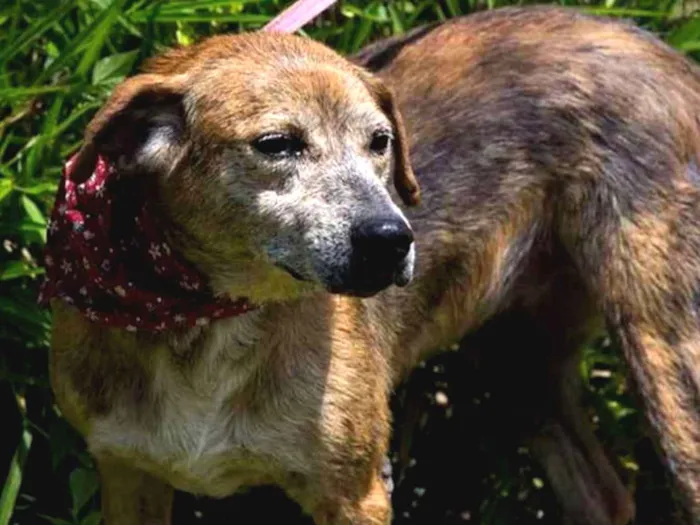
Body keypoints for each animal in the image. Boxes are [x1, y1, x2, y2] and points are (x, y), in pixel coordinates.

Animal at [43, 5, 700, 524]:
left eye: (380, 141)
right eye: (277, 145)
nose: (392, 239)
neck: (205, 320)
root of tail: (669, 56)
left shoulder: (355, 494)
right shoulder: (128, 474)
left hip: (667, 356)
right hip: (515, 358)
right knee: (604, 496)